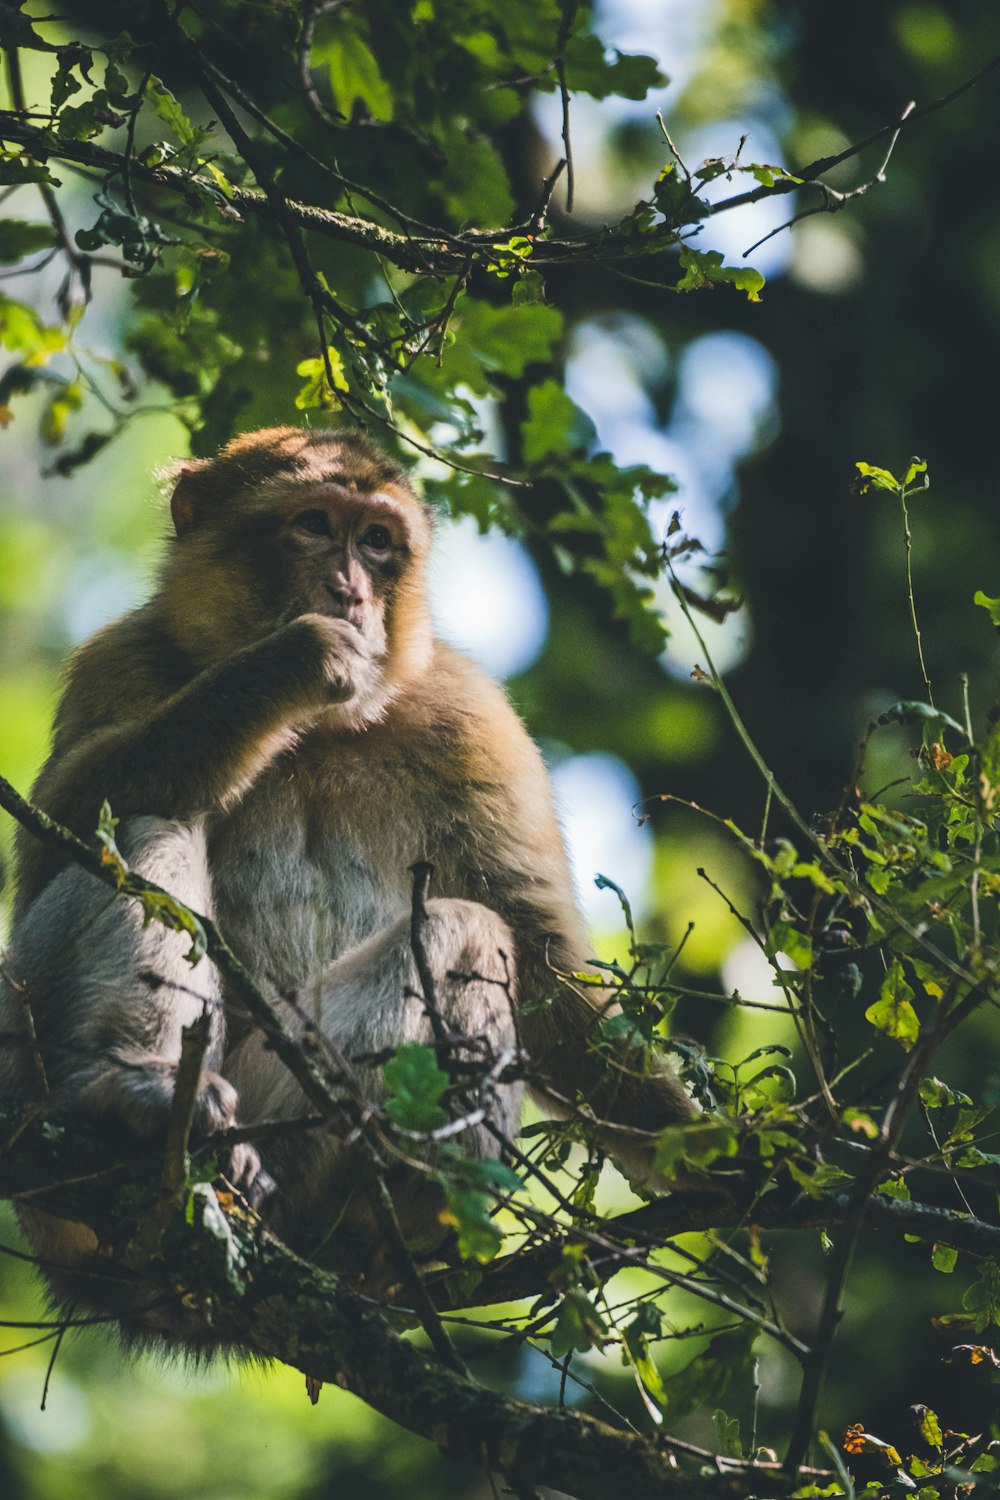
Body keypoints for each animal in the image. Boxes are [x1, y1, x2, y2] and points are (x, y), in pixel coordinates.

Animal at [0, 426, 695, 1338]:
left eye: (376, 541)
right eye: (313, 525)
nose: (350, 591)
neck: (326, 732)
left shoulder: (469, 716)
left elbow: (547, 972)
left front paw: (714, 1154)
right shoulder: (118, 657)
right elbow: (58, 838)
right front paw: (284, 665)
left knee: (468, 931)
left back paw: (384, 1218)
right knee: (148, 825)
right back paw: (131, 1099)